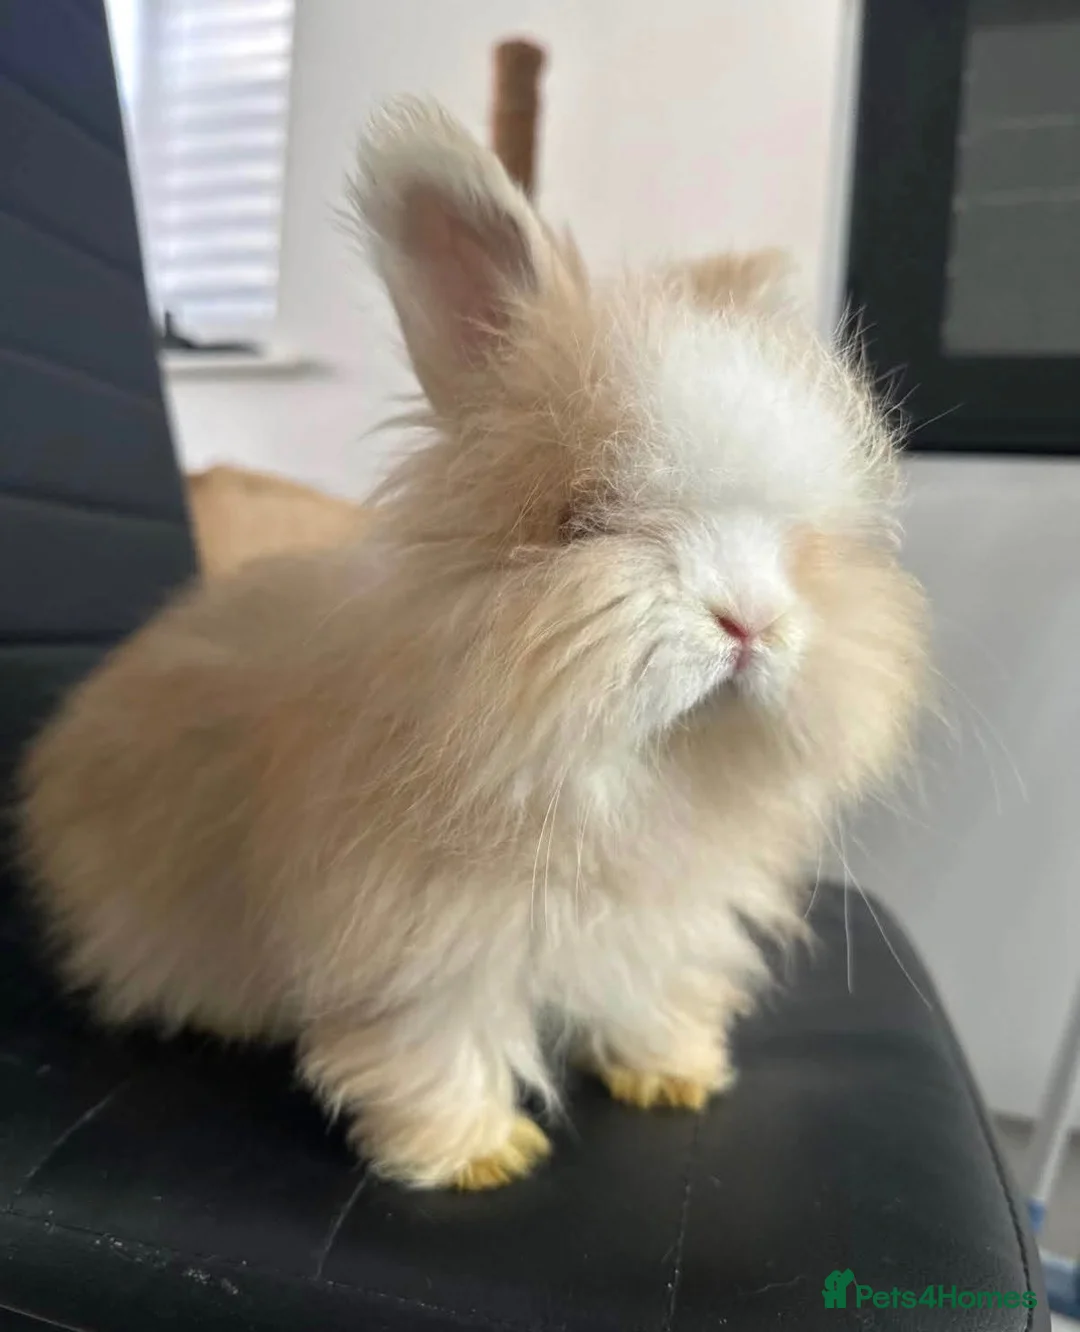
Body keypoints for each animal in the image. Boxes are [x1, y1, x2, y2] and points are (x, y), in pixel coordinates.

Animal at [17, 98, 926, 1191]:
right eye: (585, 519)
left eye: (799, 539)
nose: (750, 621)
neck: (628, 781)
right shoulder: (416, 942)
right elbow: (439, 1036)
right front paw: (478, 1155)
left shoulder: (664, 925)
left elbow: (651, 994)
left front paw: (676, 1076)